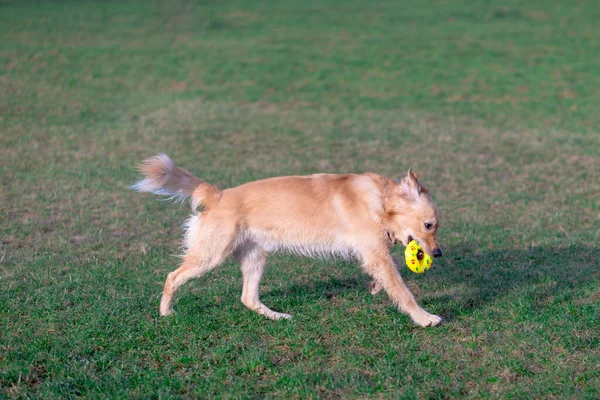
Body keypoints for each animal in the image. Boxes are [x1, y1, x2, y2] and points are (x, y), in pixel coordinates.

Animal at [134, 155, 442, 326]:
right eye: (428, 225)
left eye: (436, 226)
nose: (438, 254)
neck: (382, 199)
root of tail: (218, 195)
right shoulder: (375, 252)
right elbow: (403, 291)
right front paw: (425, 318)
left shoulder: (375, 254)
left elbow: (391, 273)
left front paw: (377, 286)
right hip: (210, 256)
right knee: (172, 277)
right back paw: (166, 312)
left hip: (256, 258)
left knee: (248, 298)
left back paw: (278, 317)